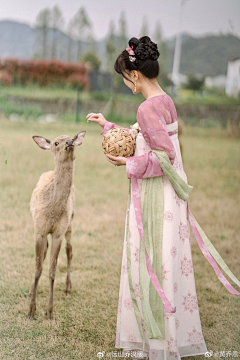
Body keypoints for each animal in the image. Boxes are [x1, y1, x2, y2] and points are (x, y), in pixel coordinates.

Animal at [28, 131, 86, 320]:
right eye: (55, 143)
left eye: (73, 138)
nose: (69, 142)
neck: (53, 211)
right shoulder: (39, 229)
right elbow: (38, 267)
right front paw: (31, 310)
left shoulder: (58, 232)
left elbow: (52, 271)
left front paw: (49, 312)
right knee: (44, 254)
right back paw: (31, 291)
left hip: (71, 222)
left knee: (70, 250)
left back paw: (68, 287)